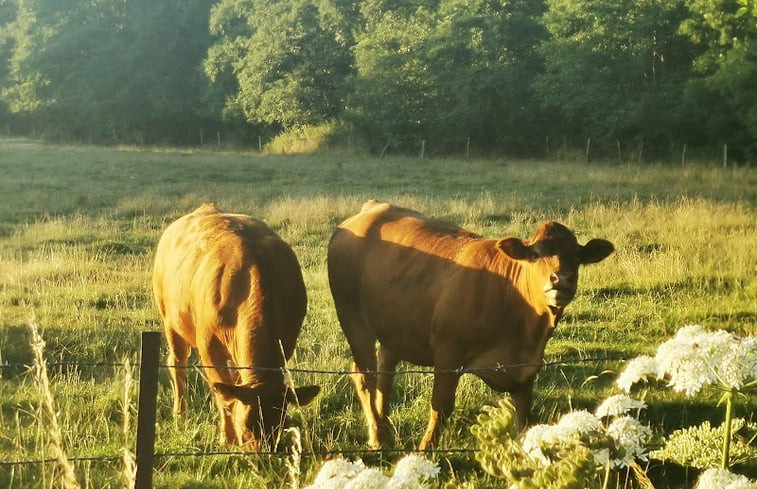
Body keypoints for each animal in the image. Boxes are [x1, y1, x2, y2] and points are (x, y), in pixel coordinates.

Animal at [154, 203, 318, 450]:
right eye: (247, 427)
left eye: (281, 424)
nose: (262, 454)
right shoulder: (209, 348)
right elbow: (223, 394)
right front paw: (226, 438)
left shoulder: (286, 345)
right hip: (171, 322)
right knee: (177, 364)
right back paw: (180, 412)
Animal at [328, 199, 612, 450]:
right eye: (535, 254)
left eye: (577, 256)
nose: (561, 278)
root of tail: (371, 209)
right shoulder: (448, 352)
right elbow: (441, 405)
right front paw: (426, 449)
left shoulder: (526, 370)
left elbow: (524, 416)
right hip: (353, 319)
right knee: (365, 376)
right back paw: (378, 437)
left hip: (394, 329)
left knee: (384, 376)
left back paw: (384, 430)